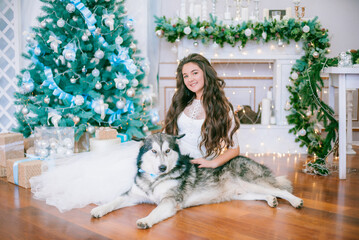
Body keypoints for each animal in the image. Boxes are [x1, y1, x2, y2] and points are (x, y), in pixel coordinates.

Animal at [90, 133, 304, 229]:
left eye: (168, 150)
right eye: (153, 151)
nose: (162, 168)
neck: (154, 180)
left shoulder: (170, 201)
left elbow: (155, 211)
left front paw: (146, 219)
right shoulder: (132, 195)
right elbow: (114, 201)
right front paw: (99, 209)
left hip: (250, 181)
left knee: (281, 190)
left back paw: (295, 201)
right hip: (243, 193)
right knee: (266, 194)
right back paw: (271, 200)